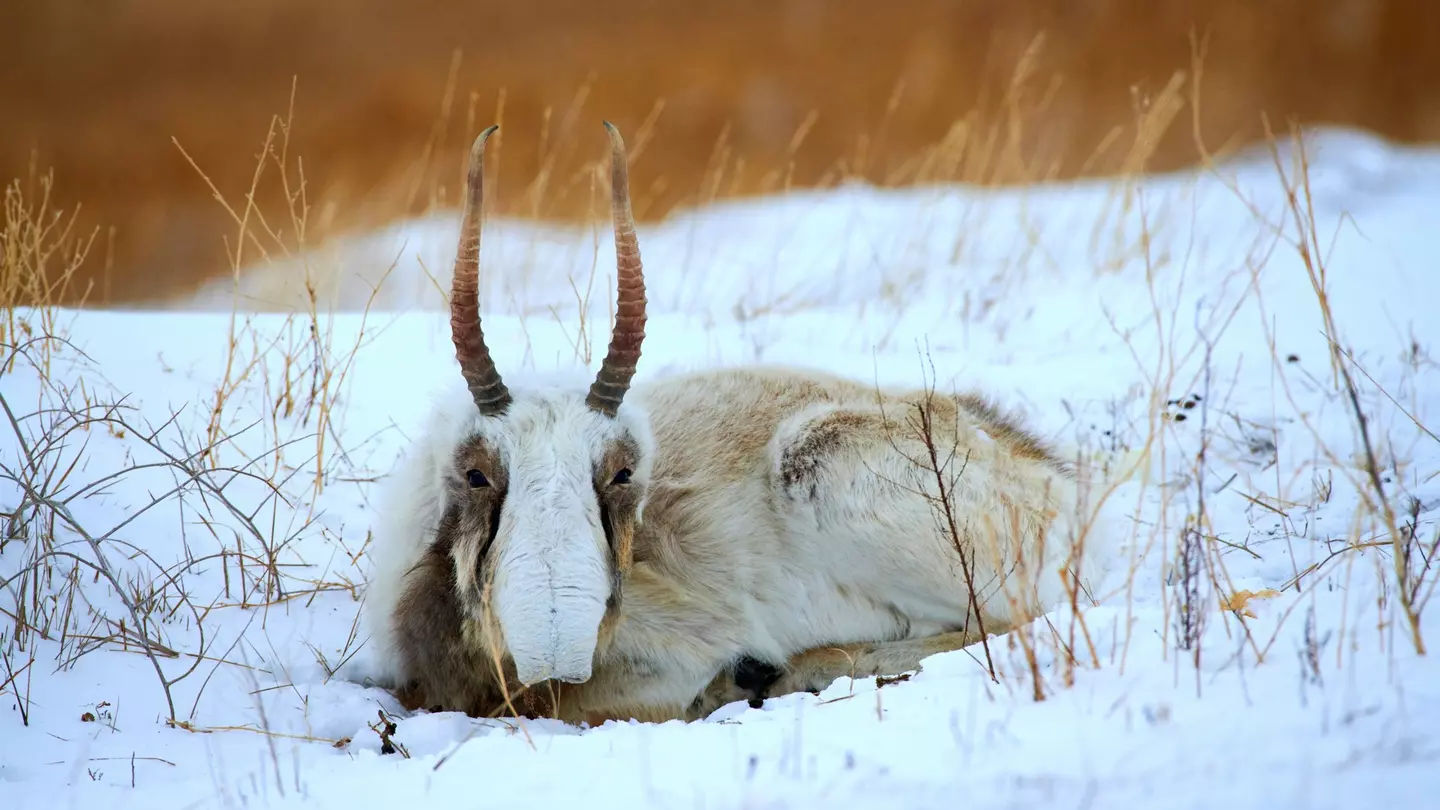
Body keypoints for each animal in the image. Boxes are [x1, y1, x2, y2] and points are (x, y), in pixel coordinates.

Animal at [362, 122, 1115, 725]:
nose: (556, 645)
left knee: (1008, 620)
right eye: (476, 473)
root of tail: (1047, 479)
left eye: (624, 471)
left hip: (828, 469)